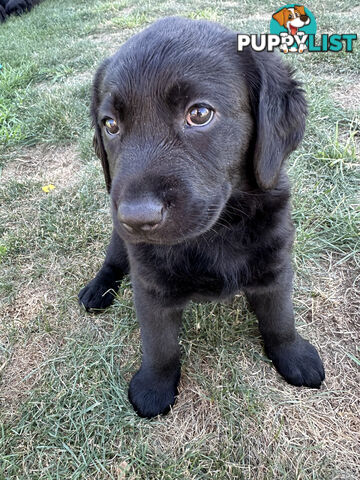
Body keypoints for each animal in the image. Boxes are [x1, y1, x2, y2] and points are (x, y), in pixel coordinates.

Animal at [79, 16, 326, 418]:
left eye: (199, 114)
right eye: (110, 125)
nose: (137, 218)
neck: (215, 233)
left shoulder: (276, 264)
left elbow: (280, 317)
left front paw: (293, 355)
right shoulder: (150, 285)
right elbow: (159, 344)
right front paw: (154, 386)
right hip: (120, 242)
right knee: (113, 261)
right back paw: (97, 288)